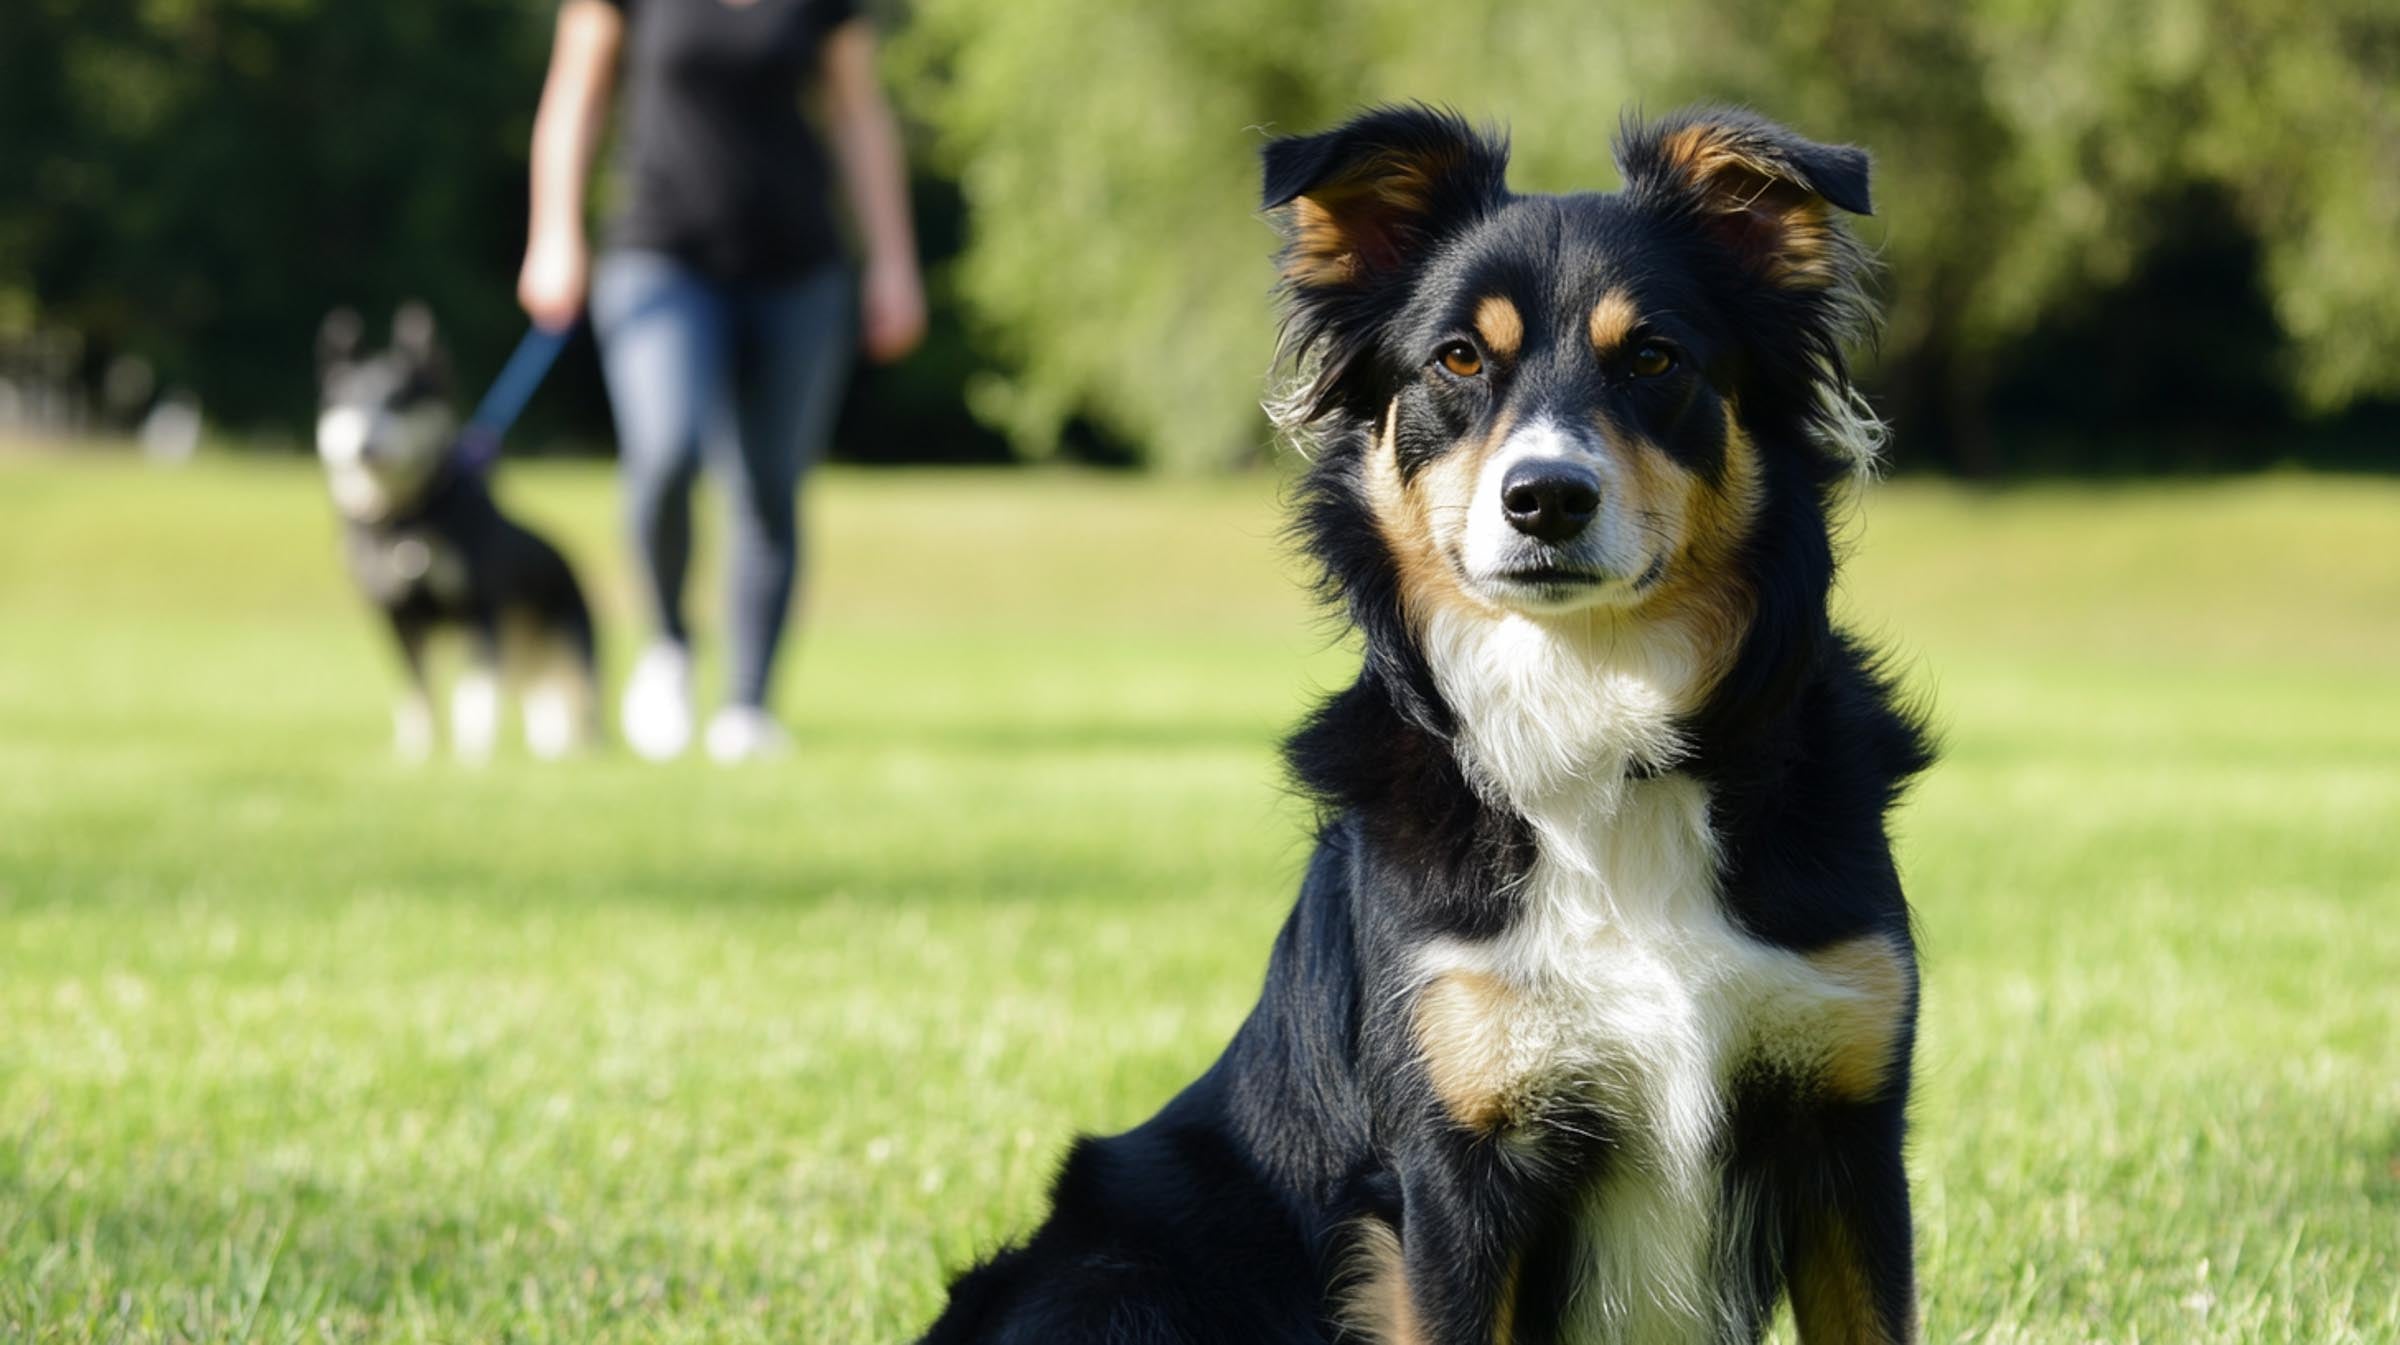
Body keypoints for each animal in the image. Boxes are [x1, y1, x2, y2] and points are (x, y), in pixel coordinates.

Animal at [314, 309, 600, 763]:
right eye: (350, 402)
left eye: (401, 401)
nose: (366, 448)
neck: (408, 521)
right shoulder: (398, 617)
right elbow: (417, 693)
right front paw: (416, 755)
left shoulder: (478, 610)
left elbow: (475, 694)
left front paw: (472, 758)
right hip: (524, 663)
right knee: (545, 711)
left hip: (571, 650)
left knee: (582, 707)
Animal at [907, 107, 1939, 1345]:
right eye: (1457, 359)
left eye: (1655, 358)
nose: (1546, 498)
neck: (1598, 729)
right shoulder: (1453, 1162)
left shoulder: (1850, 1122)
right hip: (1121, 1280)